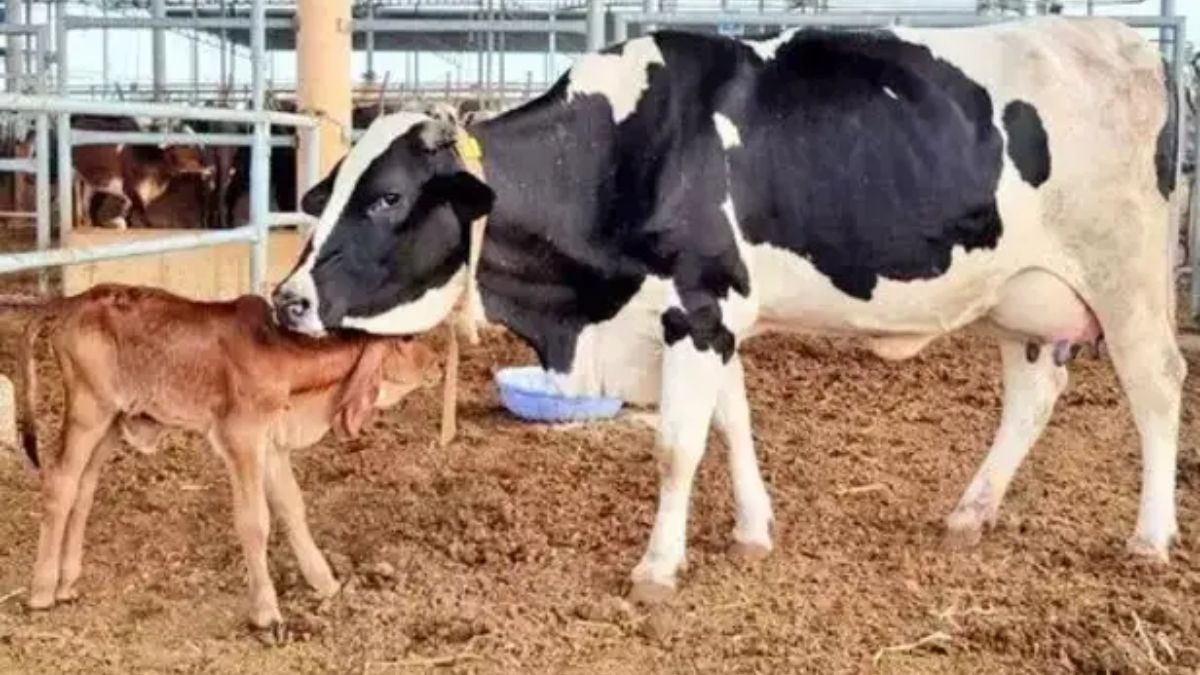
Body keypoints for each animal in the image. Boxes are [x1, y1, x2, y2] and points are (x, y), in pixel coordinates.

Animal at [9, 284, 441, 633]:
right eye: (407, 337)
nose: (436, 362)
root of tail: (73, 301)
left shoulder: (272, 444)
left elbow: (292, 508)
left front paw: (325, 582)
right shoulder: (242, 438)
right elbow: (255, 522)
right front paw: (266, 612)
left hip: (112, 422)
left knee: (83, 489)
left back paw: (67, 584)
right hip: (87, 412)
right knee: (60, 481)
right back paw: (42, 591)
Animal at [271, 17, 1185, 603]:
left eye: (387, 198)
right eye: (332, 189)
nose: (288, 299)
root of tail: (1121, 37)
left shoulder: (698, 306)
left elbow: (677, 446)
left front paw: (657, 567)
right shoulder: (713, 317)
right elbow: (732, 424)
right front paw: (752, 531)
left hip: (1129, 276)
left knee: (1158, 386)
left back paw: (1150, 537)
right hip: (1024, 298)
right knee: (1032, 396)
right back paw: (971, 511)